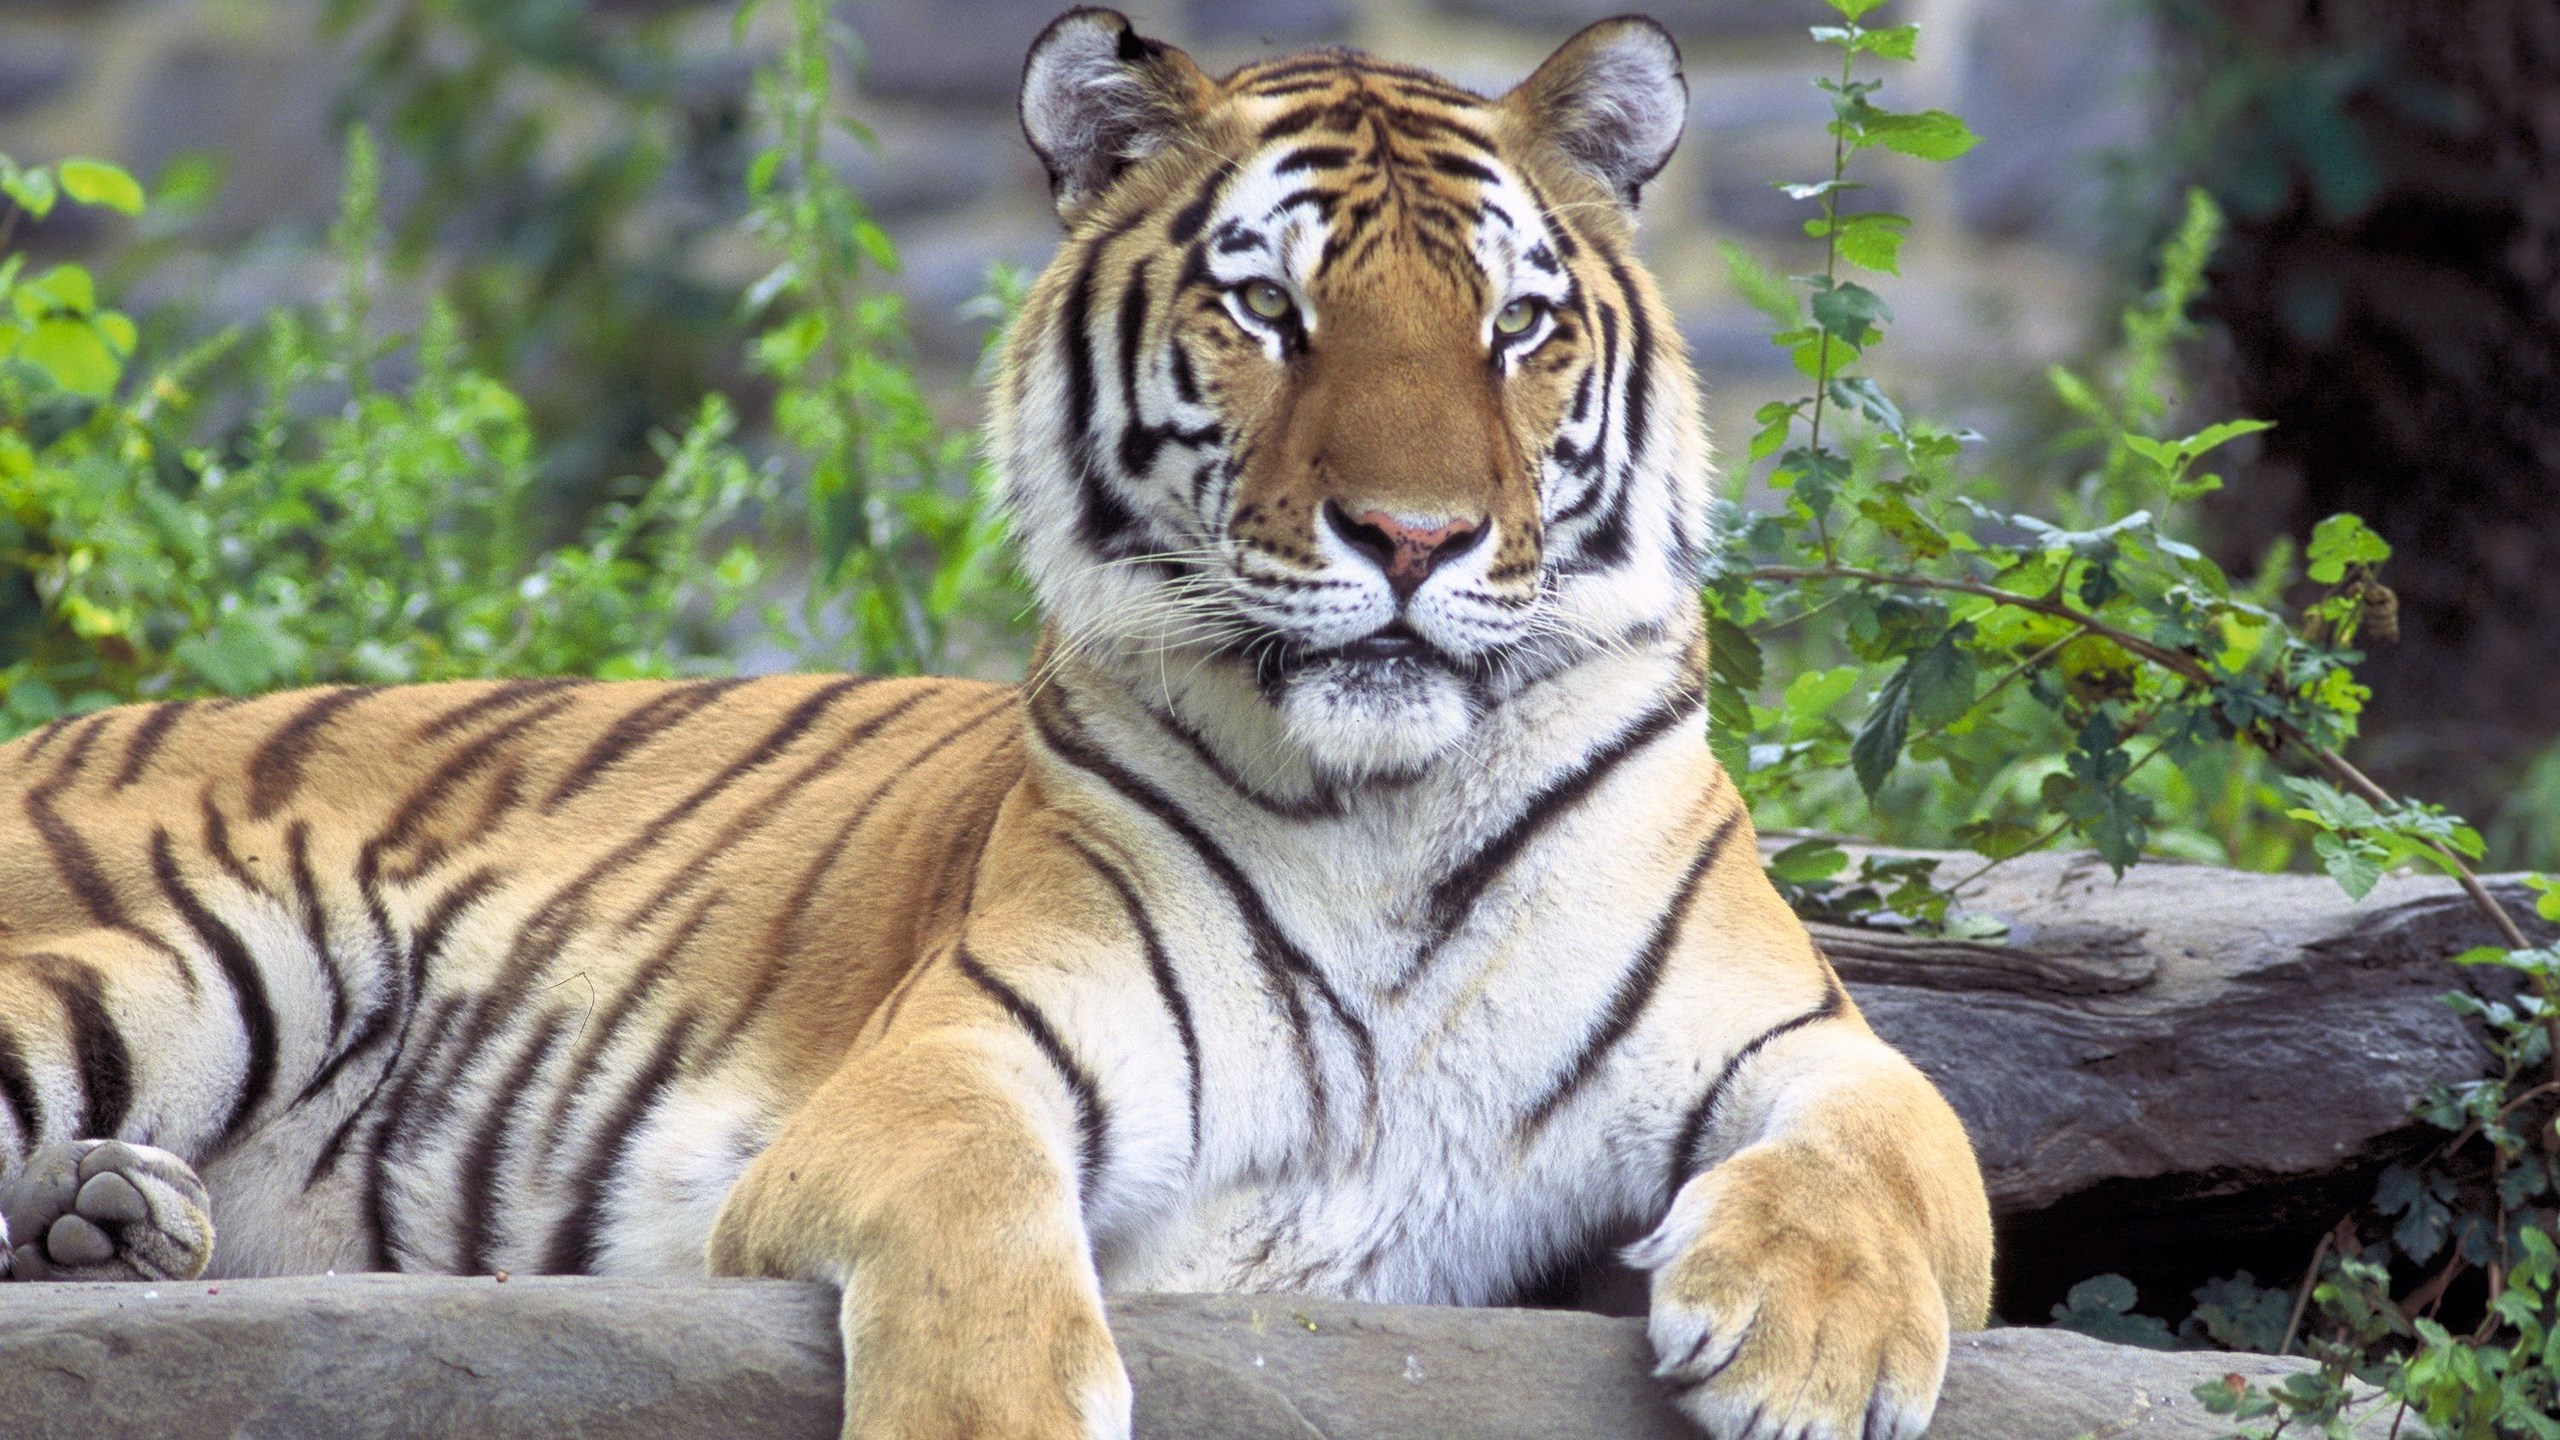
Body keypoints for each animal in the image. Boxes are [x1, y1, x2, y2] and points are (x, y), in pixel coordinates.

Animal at [0, 10, 1992, 1440]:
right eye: (1268, 306)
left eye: (1514, 326)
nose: (1415, 537)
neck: (1386, 809)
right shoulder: (958, 1054)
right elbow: (977, 1215)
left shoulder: (1798, 1035)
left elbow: (1907, 1145)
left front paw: (1814, 1351)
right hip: (222, 953)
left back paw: (109, 1220)